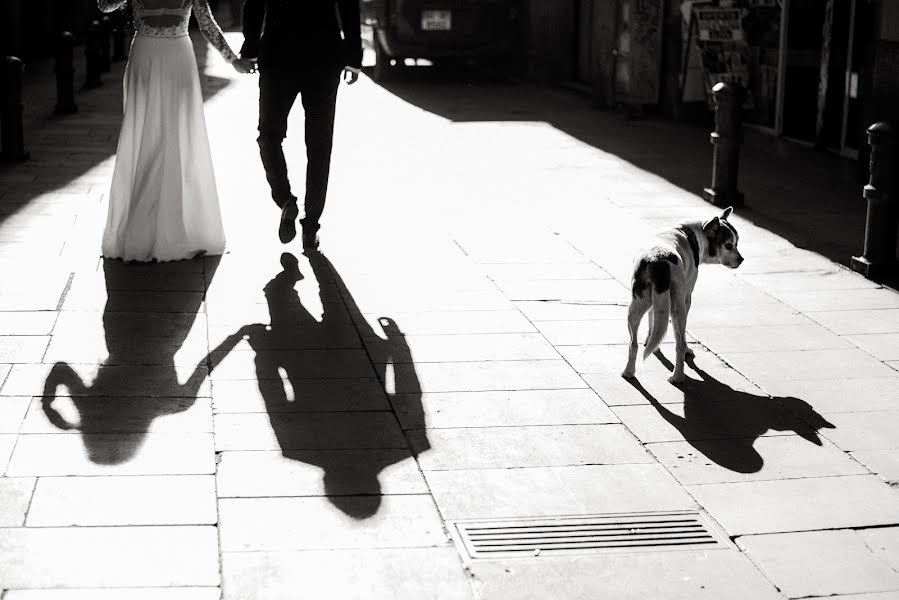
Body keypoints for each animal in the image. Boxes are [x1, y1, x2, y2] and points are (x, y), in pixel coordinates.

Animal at [624, 209, 740, 382]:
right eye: (729, 245)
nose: (741, 259)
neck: (692, 234)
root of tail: (658, 260)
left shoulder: (655, 302)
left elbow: (653, 320)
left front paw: (651, 342)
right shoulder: (687, 299)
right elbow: (682, 336)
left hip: (636, 307)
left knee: (633, 344)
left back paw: (629, 372)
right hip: (677, 310)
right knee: (679, 345)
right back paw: (677, 376)